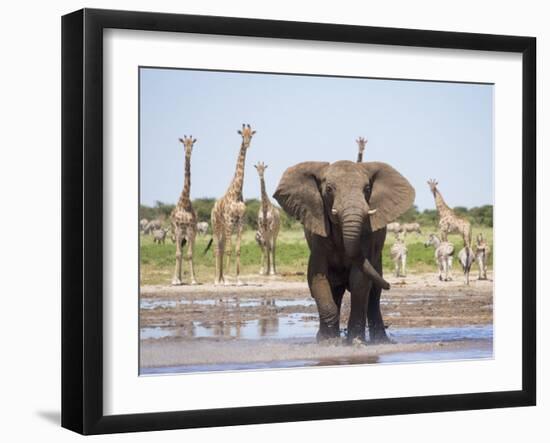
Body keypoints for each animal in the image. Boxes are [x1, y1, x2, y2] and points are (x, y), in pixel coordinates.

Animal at [211, 124, 256, 284]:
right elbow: (229, 250)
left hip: (224, 229)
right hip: (216, 226)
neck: (236, 193)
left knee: (221, 247)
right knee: (217, 248)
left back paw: (221, 277)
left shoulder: (240, 222)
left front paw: (238, 279)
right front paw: (228, 278)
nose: (247, 144)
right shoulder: (230, 221)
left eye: (251, 135)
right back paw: (217, 279)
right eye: (242, 135)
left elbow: (237, 250)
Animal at [274, 160, 416, 344]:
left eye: (367, 188)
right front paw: (328, 342)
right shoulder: (318, 237)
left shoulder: (367, 235)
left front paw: (355, 342)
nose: (390, 285)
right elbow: (317, 277)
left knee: (373, 293)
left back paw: (380, 341)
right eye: (329, 189)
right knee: (336, 288)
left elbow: (359, 280)